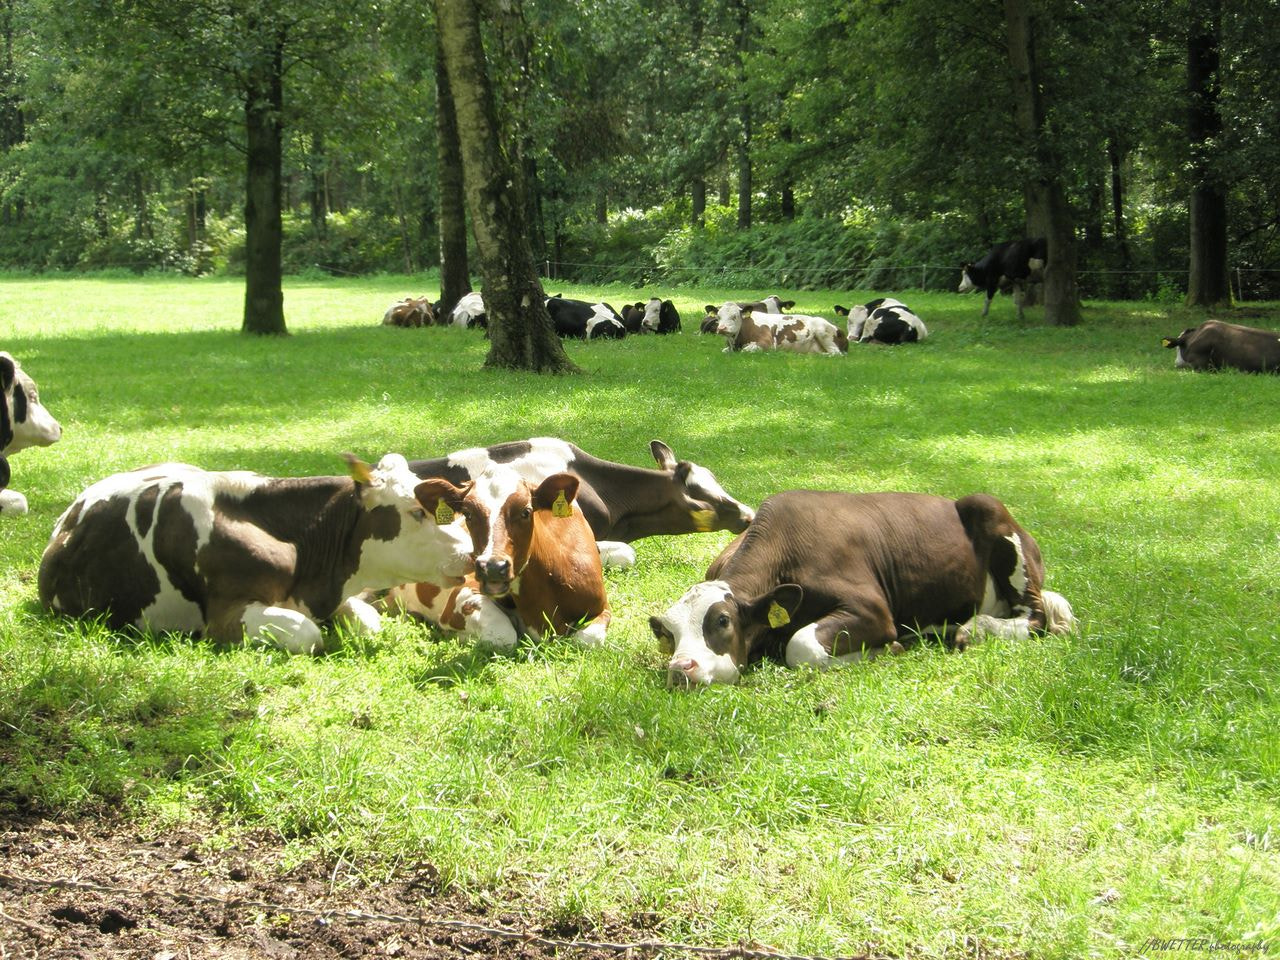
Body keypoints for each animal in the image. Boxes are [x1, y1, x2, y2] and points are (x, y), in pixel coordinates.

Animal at [384, 467, 610, 649]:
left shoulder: (602, 606)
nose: (492, 567)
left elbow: (586, 641)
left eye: (526, 512)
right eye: (468, 514)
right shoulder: (463, 593)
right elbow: (504, 636)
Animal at [651, 489, 1074, 687]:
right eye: (668, 634)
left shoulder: (871, 609)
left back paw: (975, 629)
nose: (680, 669)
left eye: (722, 621)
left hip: (991, 513)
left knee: (1035, 617)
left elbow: (800, 646)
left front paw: (886, 649)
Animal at [715, 304, 846, 355]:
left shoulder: (767, 343)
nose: (721, 328)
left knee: (835, 353)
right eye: (718, 317)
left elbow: (745, 350)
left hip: (822, 331)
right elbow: (724, 350)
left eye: (734, 316)